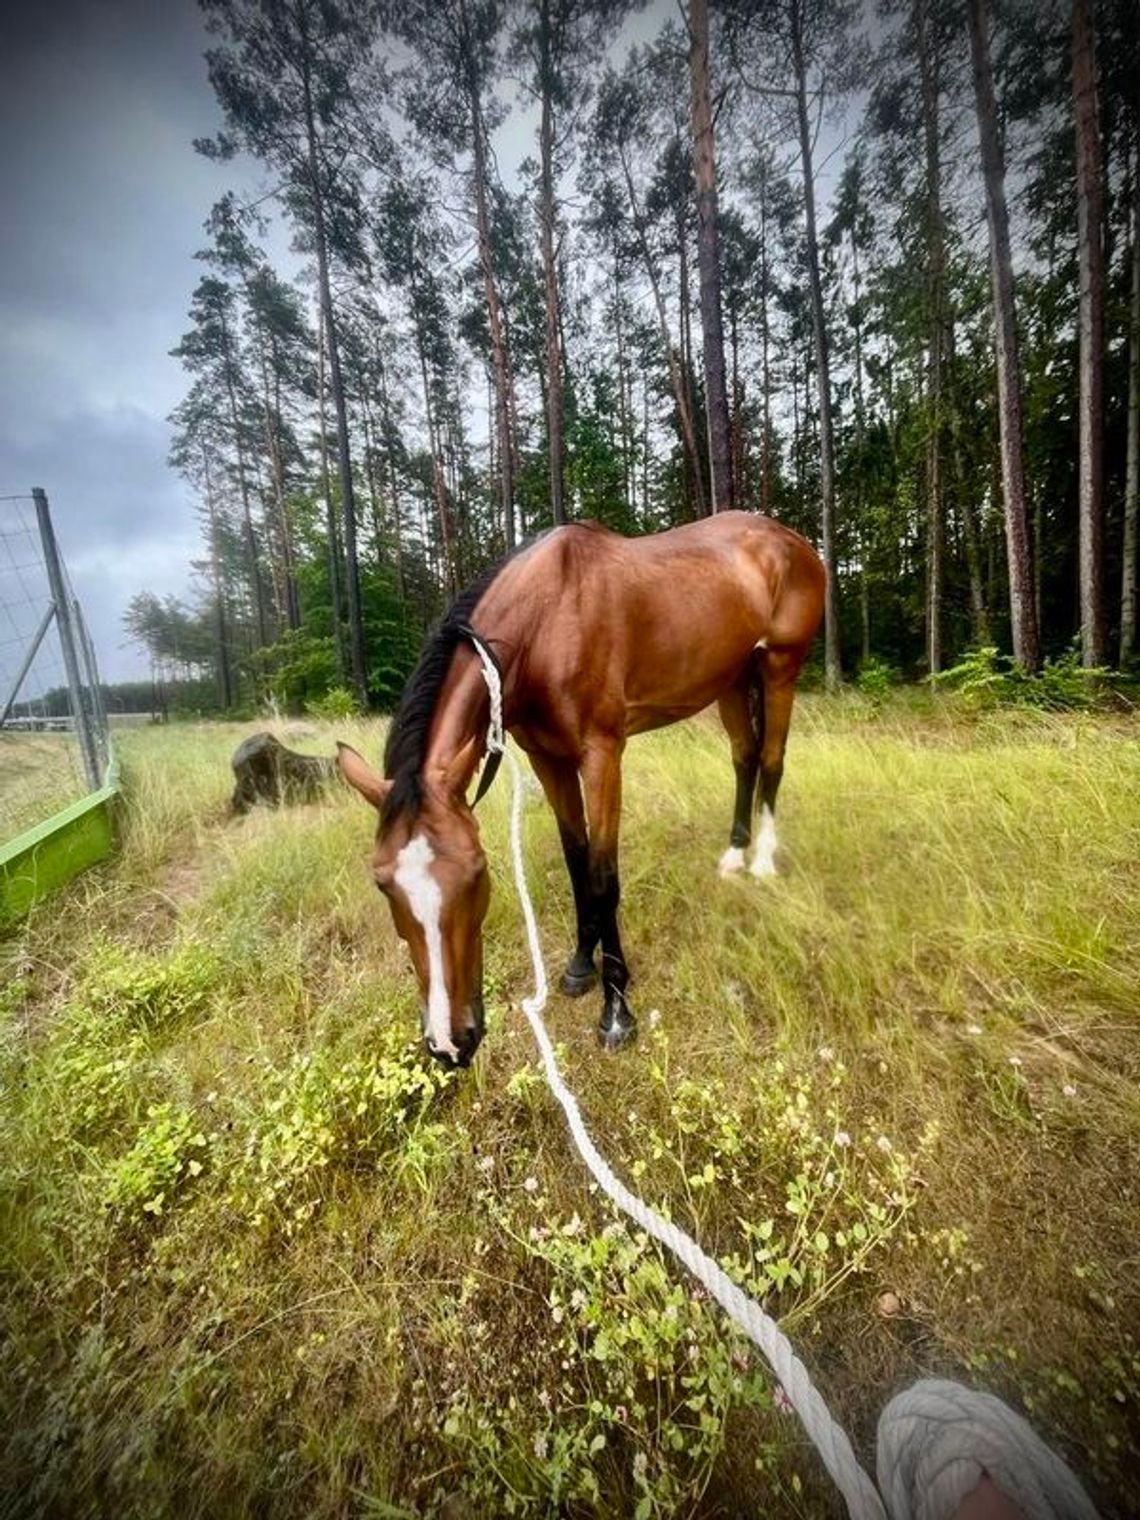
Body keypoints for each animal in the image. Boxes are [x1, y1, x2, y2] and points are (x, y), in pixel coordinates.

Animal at [334, 510, 826, 1070]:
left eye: (477, 872)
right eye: (382, 883)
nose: (450, 1043)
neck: (544, 621)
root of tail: (789, 540)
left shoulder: (602, 755)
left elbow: (602, 874)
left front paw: (616, 1009)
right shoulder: (547, 758)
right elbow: (576, 859)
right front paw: (578, 966)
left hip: (780, 667)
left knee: (771, 760)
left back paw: (762, 860)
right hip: (733, 677)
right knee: (744, 758)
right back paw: (733, 856)